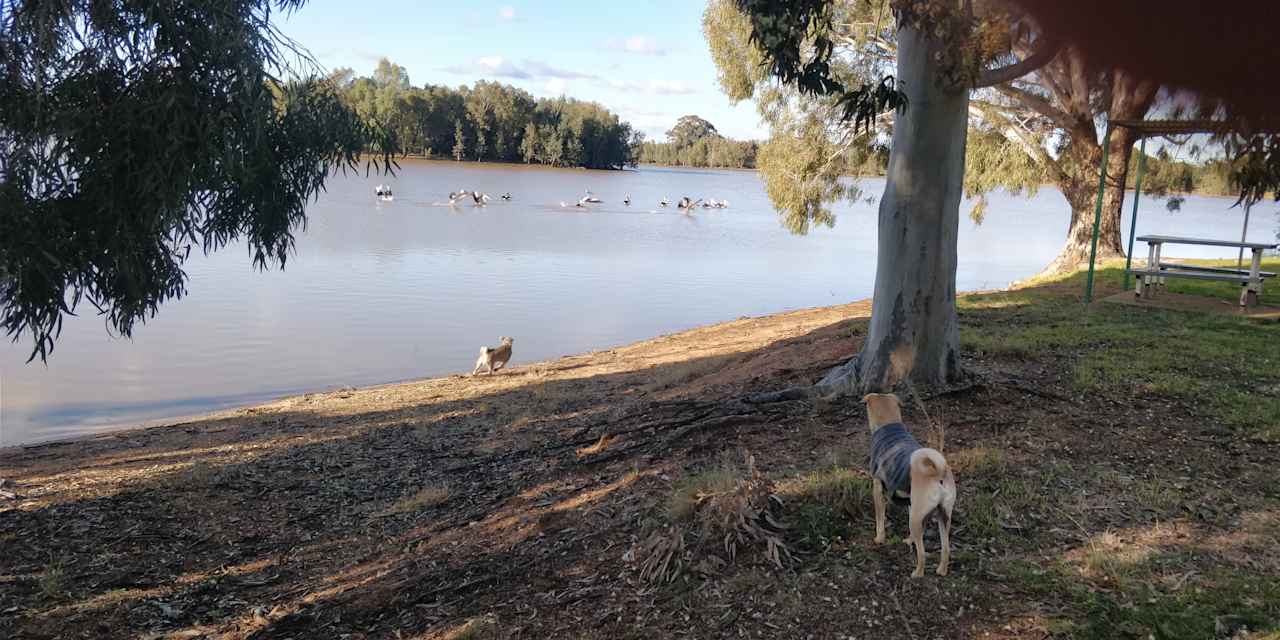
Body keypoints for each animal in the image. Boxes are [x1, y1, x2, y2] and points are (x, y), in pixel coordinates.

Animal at [865, 391, 957, 578]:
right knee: (945, 549)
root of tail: (938, 471)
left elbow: (880, 521)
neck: (889, 424)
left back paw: (917, 573)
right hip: (942, 516)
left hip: (918, 517)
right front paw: (909, 540)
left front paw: (879, 539)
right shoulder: (910, 501)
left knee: (922, 553)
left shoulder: (878, 490)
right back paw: (941, 570)